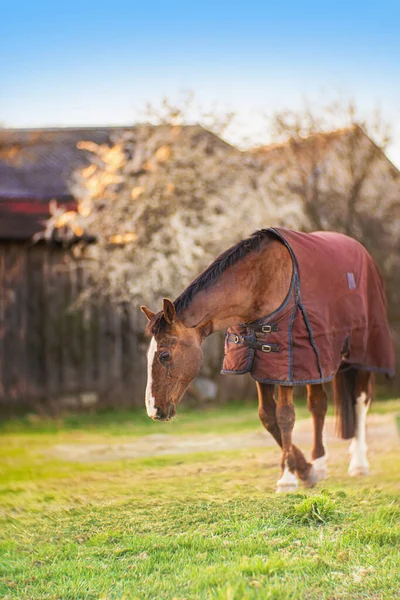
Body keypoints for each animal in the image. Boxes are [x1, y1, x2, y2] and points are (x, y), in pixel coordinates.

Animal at [141, 227, 394, 490]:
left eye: (164, 355)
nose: (153, 409)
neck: (261, 282)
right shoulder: (262, 366)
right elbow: (268, 417)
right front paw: (305, 470)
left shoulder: (286, 367)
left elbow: (285, 416)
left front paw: (288, 479)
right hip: (316, 361)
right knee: (319, 405)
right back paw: (321, 462)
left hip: (361, 354)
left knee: (360, 401)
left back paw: (359, 464)